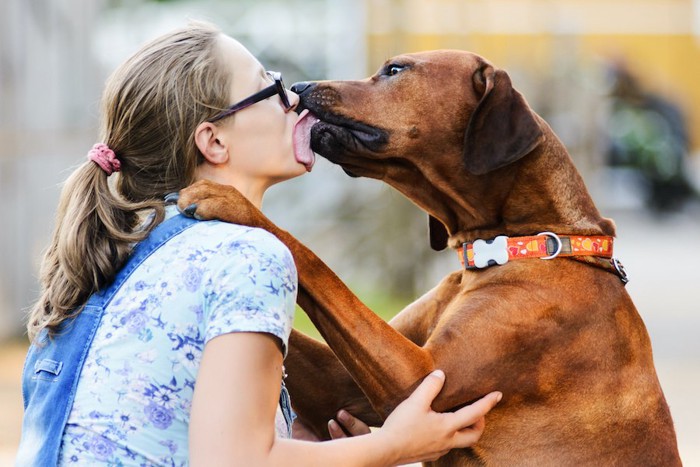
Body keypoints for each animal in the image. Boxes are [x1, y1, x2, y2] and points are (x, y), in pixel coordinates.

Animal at [178, 49, 680, 466]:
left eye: (395, 70)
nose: (301, 87)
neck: (522, 246)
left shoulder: (421, 377)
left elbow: (315, 262)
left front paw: (231, 199)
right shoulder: (342, 385)